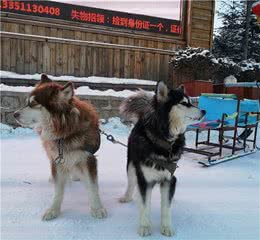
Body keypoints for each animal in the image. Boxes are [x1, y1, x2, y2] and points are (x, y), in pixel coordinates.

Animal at [13, 74, 107, 220]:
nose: (14, 114)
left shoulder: (88, 158)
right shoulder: (57, 159)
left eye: (33, 104)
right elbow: (58, 189)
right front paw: (53, 209)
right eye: (27, 102)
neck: (65, 132)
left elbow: (92, 186)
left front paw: (97, 208)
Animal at [119, 82, 205, 236]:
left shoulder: (169, 179)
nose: (204, 111)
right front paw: (145, 226)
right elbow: (145, 205)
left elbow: (166, 207)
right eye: (184, 103)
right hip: (131, 166)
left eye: (190, 102)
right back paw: (127, 196)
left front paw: (166, 227)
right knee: (131, 182)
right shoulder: (144, 180)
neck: (164, 140)